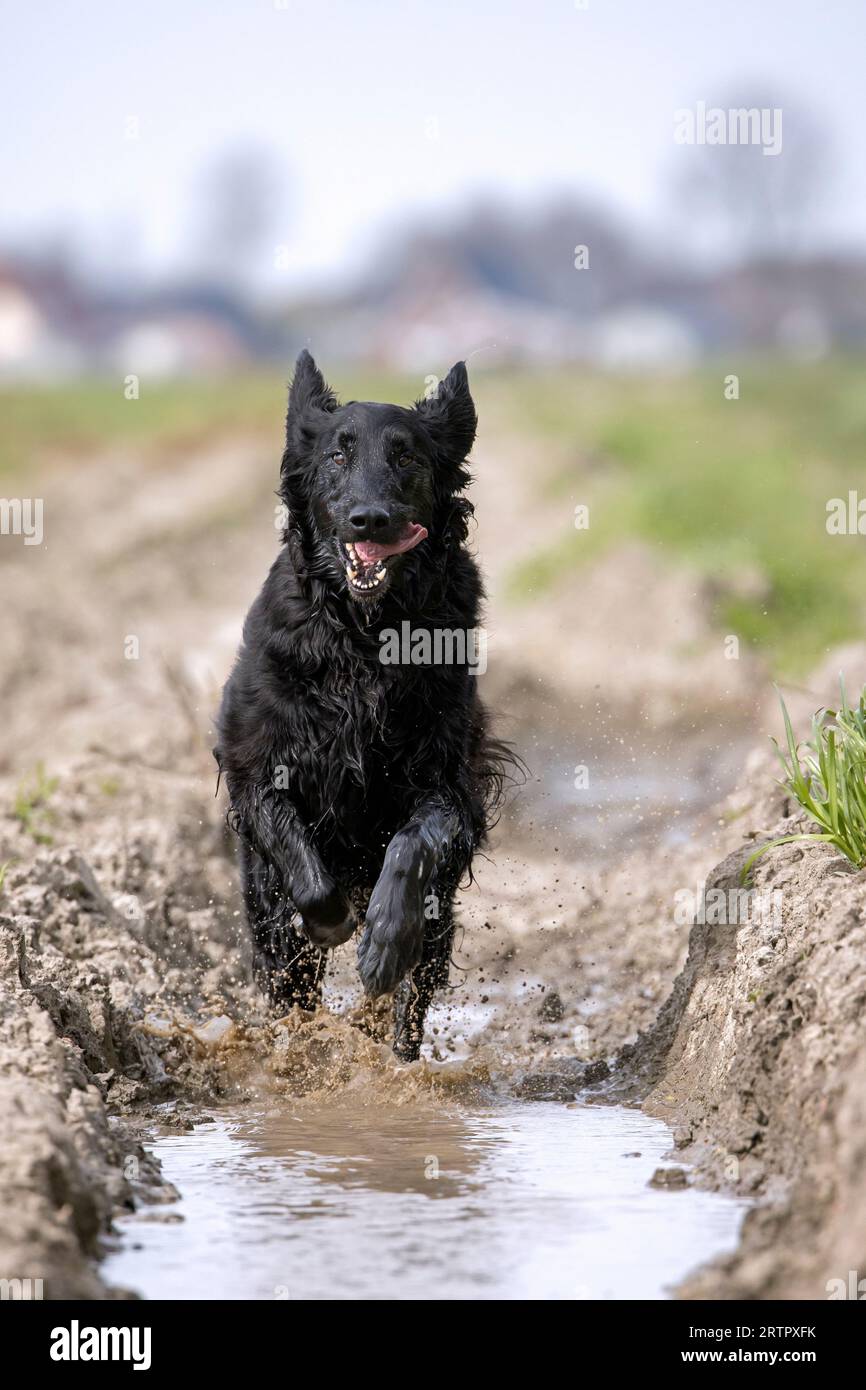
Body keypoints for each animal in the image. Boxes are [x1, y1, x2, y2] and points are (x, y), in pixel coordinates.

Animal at [215, 353, 511, 1056]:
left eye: (405, 456)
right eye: (338, 454)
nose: (370, 520)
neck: (366, 635)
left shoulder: (451, 784)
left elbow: (412, 844)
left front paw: (382, 942)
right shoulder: (256, 766)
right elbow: (302, 860)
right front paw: (333, 920)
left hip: (441, 922)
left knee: (413, 997)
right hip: (263, 908)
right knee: (289, 980)